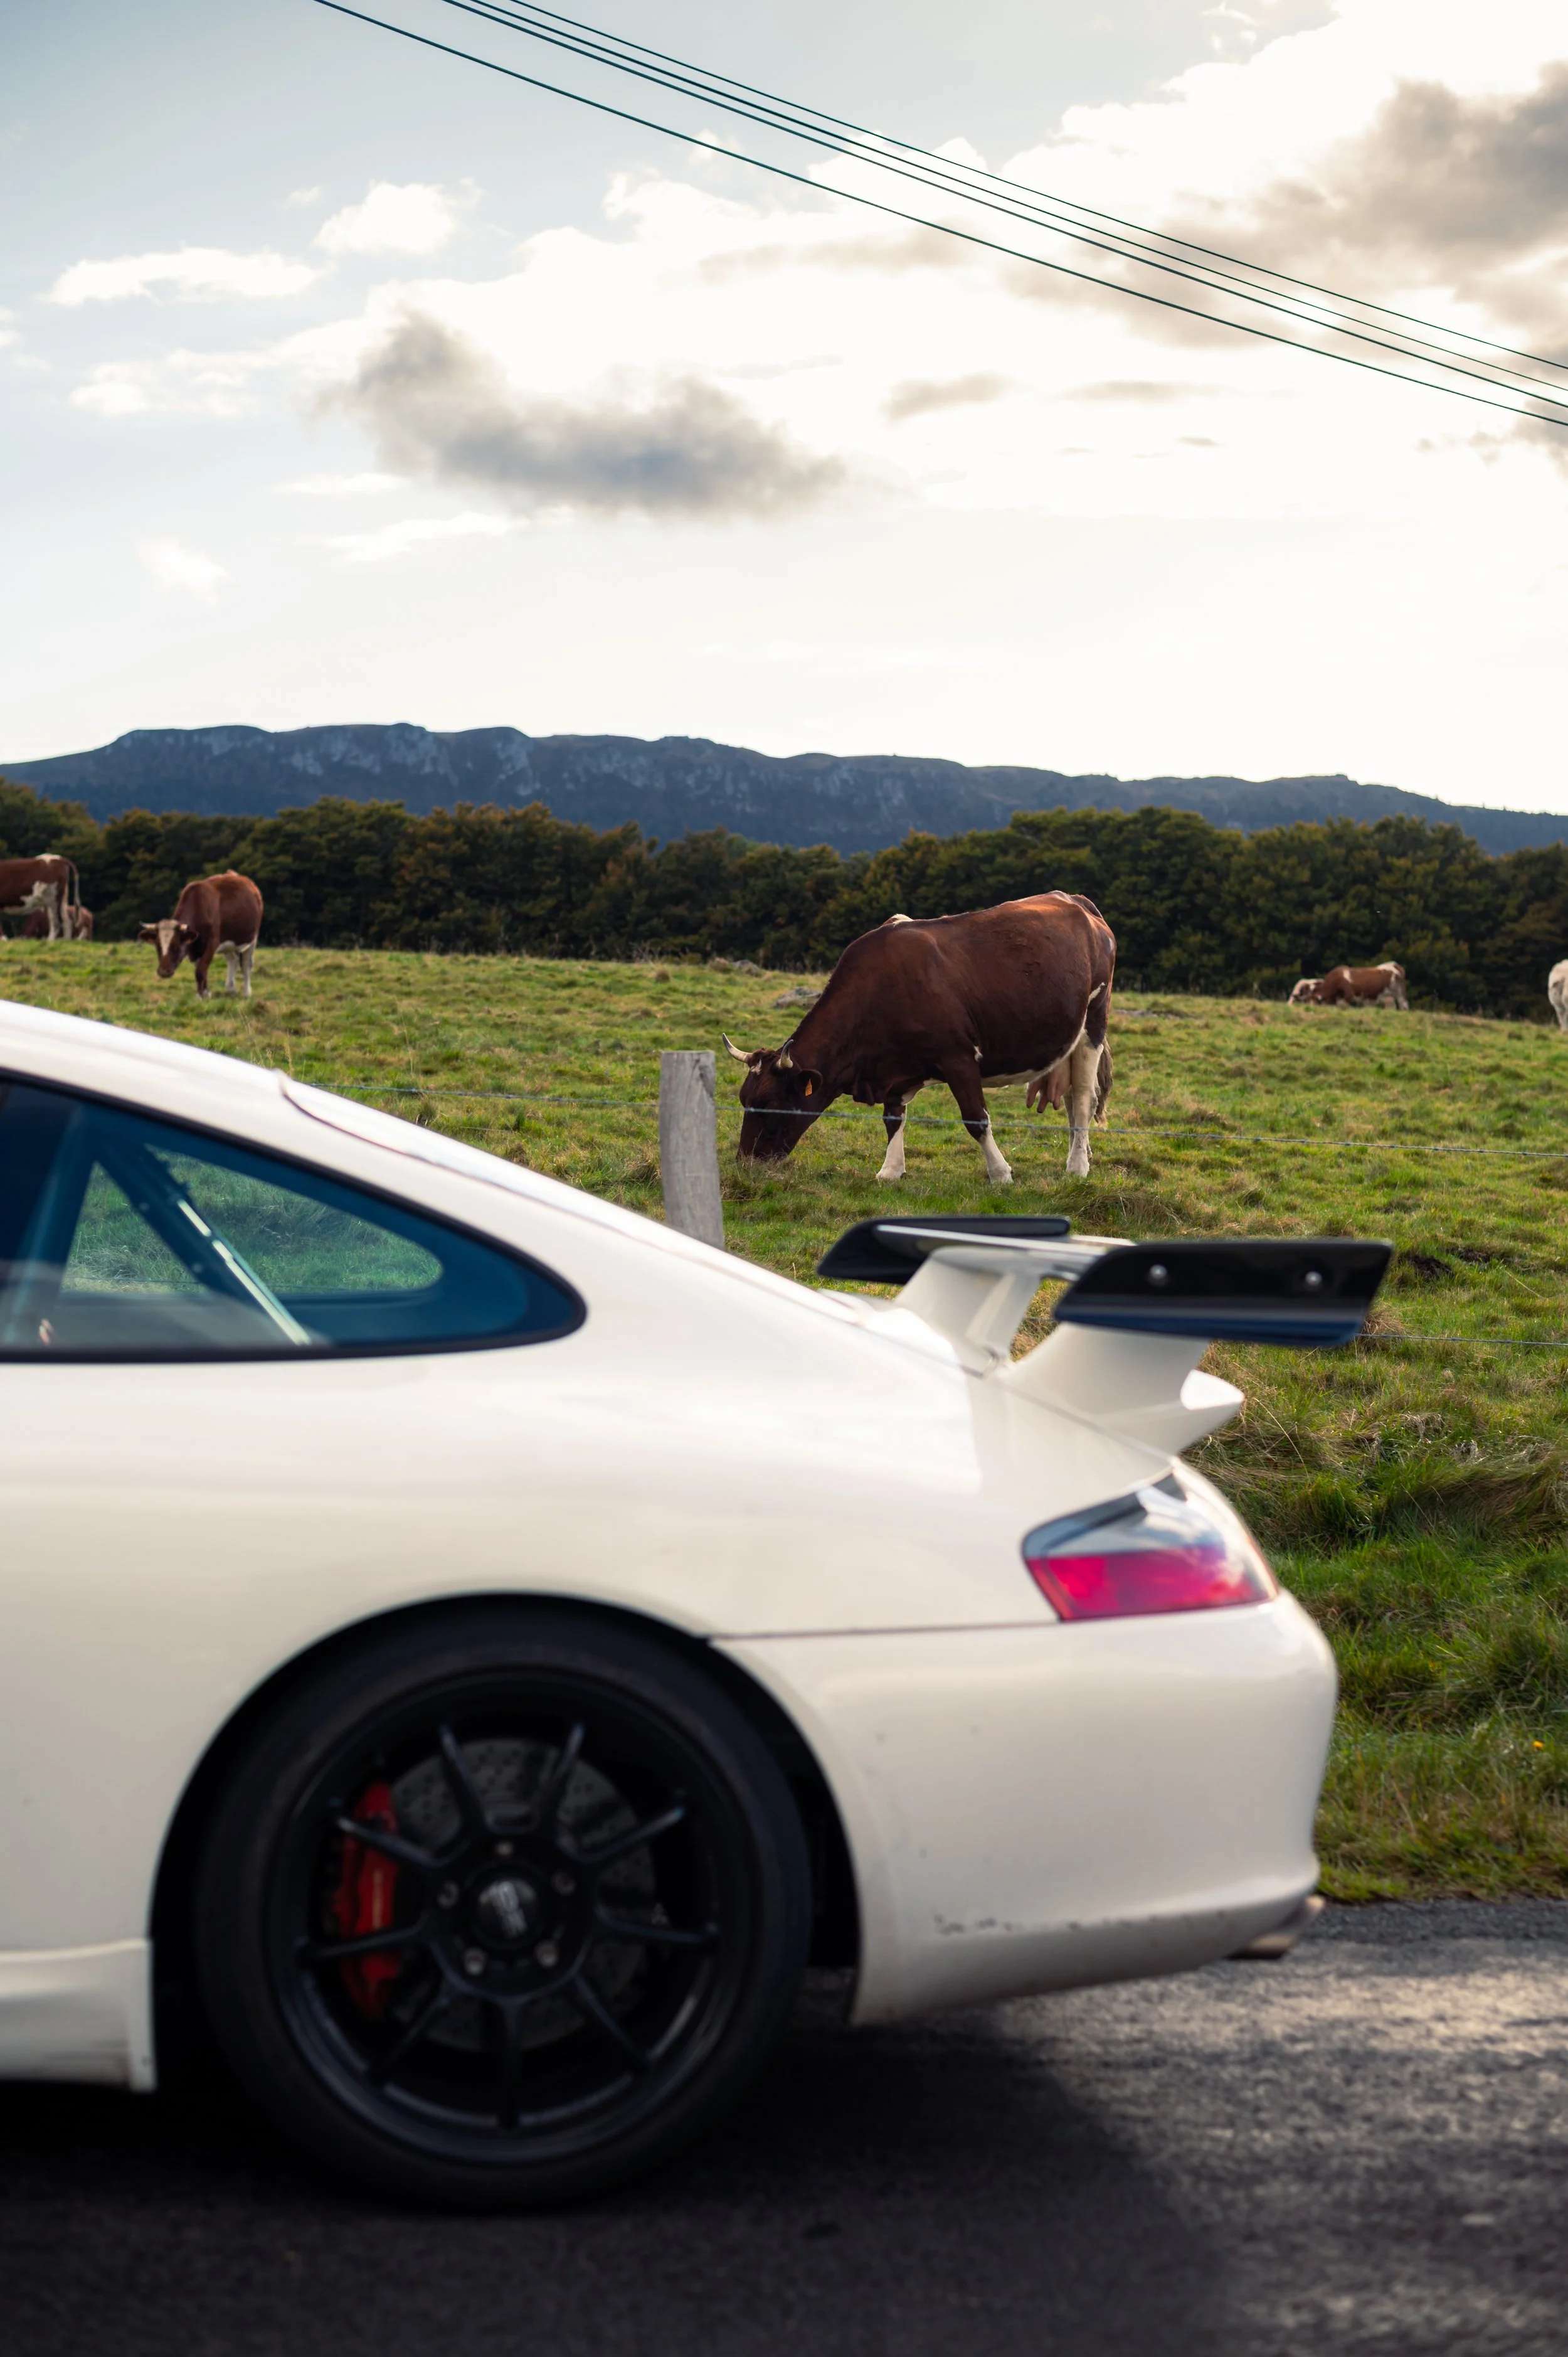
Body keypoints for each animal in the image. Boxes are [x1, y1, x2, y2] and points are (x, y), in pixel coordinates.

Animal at [0, 853, 80, 941]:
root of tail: (58, 859)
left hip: (52, 900)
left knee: (56, 923)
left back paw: (50, 941)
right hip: (62, 900)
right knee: (67, 922)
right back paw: (65, 941)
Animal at [138, 871, 263, 1000]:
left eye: (176, 946)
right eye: (158, 946)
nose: (163, 971)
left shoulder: (212, 943)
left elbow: (201, 970)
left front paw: (201, 996)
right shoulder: (193, 948)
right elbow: (200, 969)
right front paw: (204, 992)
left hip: (252, 939)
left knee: (246, 964)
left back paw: (246, 992)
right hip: (229, 942)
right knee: (233, 960)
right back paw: (230, 989)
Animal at [722, 893, 1116, 1185]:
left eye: (771, 1102)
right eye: (744, 1099)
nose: (746, 1163)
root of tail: (1076, 900)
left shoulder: (957, 1057)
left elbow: (976, 1119)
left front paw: (1000, 1173)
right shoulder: (892, 1068)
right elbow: (892, 1118)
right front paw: (891, 1170)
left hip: (1093, 1021)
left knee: (1084, 1096)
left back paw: (1077, 1167)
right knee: (1072, 1097)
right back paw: (1081, 1153)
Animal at [1290, 962, 1408, 1010]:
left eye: (1316, 1003)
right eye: (1308, 1002)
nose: (1310, 1009)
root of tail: (1394, 965)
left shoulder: (1349, 995)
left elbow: (1343, 1004)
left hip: (1399, 993)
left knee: (1404, 1005)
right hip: (1389, 997)